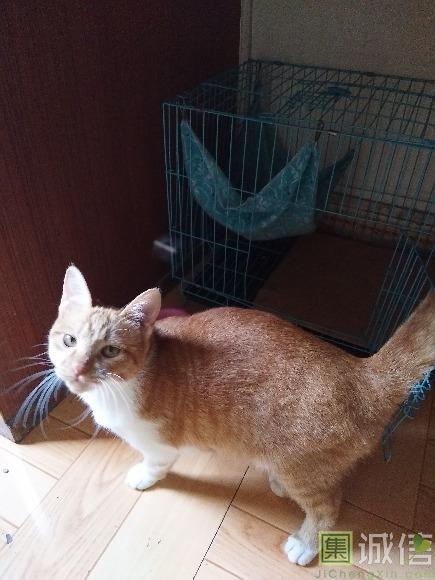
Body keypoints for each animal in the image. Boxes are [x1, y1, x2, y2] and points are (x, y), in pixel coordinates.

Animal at [48, 265, 435, 566]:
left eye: (110, 351)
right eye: (69, 341)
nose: (77, 369)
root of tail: (360, 372)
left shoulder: (158, 444)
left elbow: (156, 463)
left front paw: (144, 476)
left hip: (302, 467)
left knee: (327, 506)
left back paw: (306, 543)